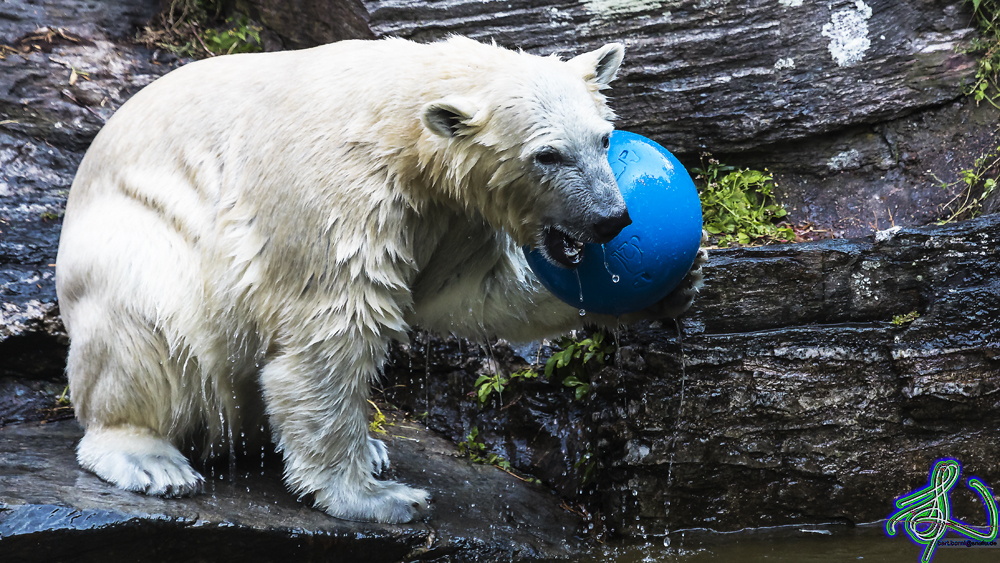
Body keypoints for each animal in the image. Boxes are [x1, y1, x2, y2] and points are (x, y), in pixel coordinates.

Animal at [56, 37, 704, 524]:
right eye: (547, 154)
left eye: (604, 138)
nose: (611, 218)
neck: (400, 118)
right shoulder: (338, 189)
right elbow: (331, 327)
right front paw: (380, 500)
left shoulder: (446, 211)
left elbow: (469, 290)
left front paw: (675, 287)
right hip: (136, 243)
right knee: (154, 325)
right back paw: (151, 458)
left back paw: (370, 446)